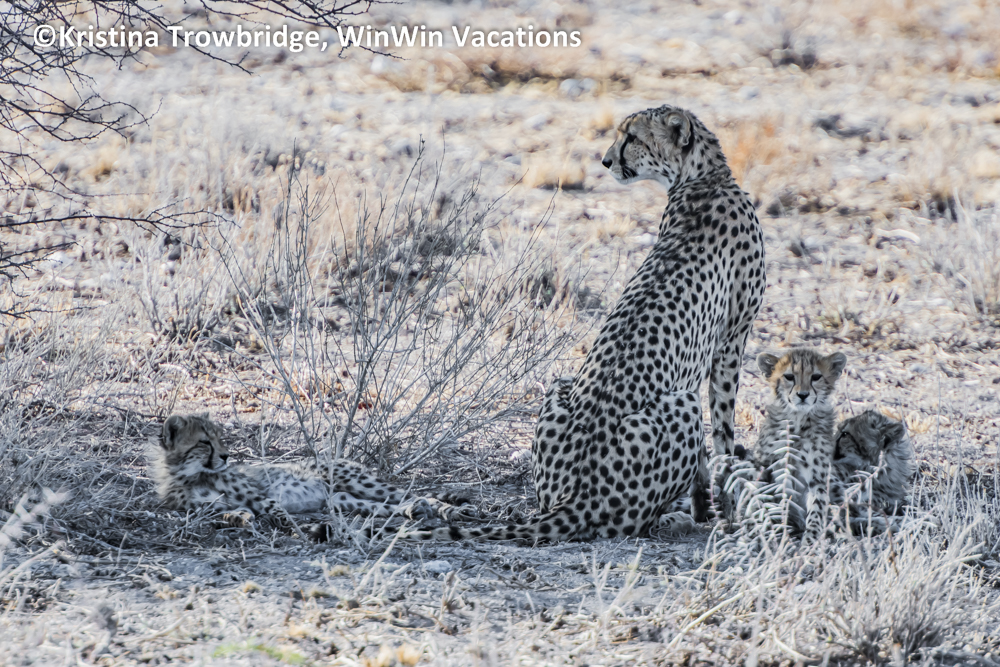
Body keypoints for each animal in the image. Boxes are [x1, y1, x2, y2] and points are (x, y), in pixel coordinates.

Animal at [147, 413, 470, 535]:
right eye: (205, 442)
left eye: (219, 439)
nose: (226, 456)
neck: (190, 474)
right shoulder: (208, 507)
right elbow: (230, 512)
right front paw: (240, 520)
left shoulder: (260, 494)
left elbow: (274, 508)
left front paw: (290, 526)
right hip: (342, 500)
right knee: (391, 505)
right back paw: (414, 511)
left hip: (353, 480)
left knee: (415, 494)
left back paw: (449, 510)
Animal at [404, 104, 766, 542]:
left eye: (633, 137)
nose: (606, 161)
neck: (704, 179)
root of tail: (576, 496)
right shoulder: (731, 342)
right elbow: (724, 434)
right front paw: (722, 510)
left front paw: (704, 507)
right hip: (682, 405)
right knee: (636, 522)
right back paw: (672, 520)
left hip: (561, 388)